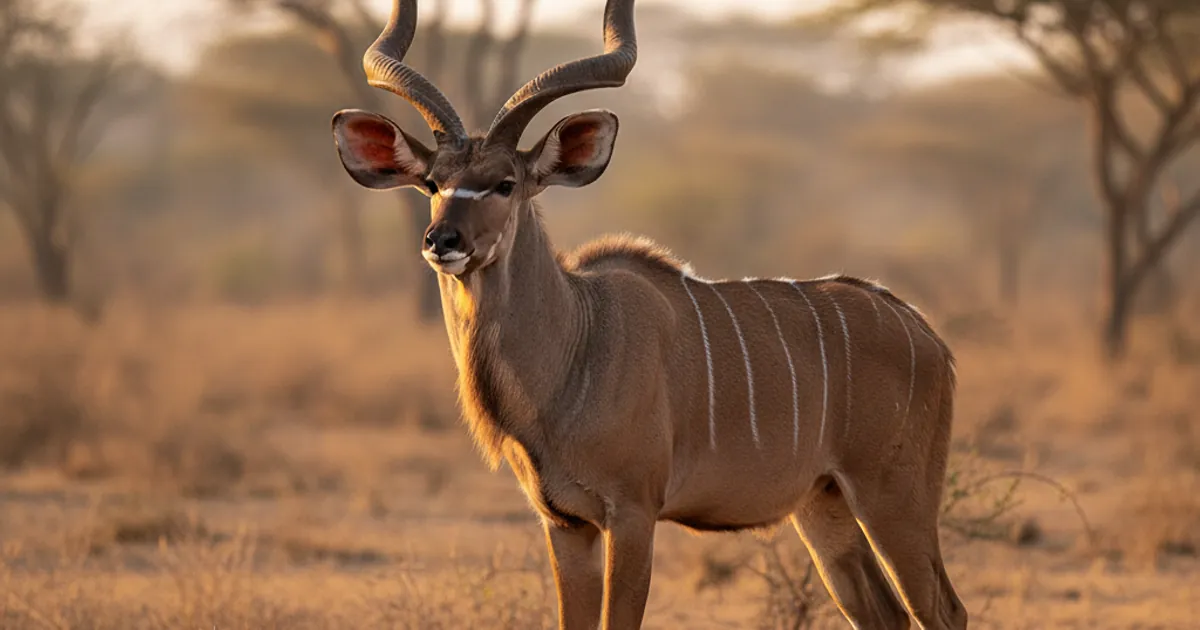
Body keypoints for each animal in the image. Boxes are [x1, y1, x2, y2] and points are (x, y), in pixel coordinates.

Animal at [329, 1, 968, 628]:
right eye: (433, 182)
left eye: (505, 183)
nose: (442, 241)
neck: (576, 344)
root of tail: (926, 335)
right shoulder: (565, 523)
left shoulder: (633, 513)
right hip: (823, 505)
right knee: (885, 613)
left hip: (894, 499)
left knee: (943, 610)